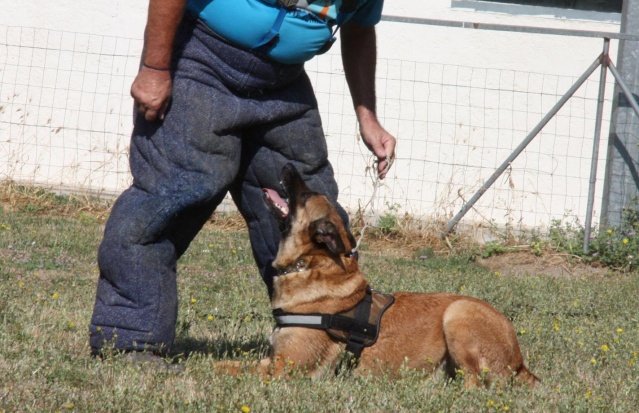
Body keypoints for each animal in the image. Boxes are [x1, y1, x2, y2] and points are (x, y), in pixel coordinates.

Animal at [220, 163, 540, 386]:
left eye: (306, 194)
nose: (287, 166)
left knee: (476, 384)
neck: (310, 264)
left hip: (458, 314)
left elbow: (226, 368)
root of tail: (520, 363)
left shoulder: (283, 367)